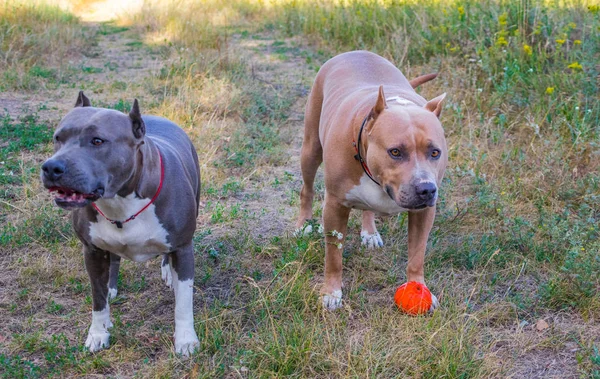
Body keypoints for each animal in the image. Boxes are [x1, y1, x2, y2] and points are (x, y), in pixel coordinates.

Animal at [41, 92, 204, 356]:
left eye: (97, 141)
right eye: (58, 138)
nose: (51, 167)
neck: (120, 200)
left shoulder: (183, 247)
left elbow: (184, 302)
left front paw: (186, 340)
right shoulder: (92, 250)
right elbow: (97, 299)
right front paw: (98, 333)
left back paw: (168, 272)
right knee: (114, 260)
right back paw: (111, 287)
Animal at [296, 50, 446, 312]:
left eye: (435, 152)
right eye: (395, 152)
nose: (426, 190)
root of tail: (355, 52)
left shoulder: (424, 212)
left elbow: (417, 255)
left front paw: (419, 287)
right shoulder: (334, 205)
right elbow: (333, 256)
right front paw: (331, 293)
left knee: (367, 207)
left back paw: (369, 231)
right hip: (311, 147)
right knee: (307, 188)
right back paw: (304, 223)